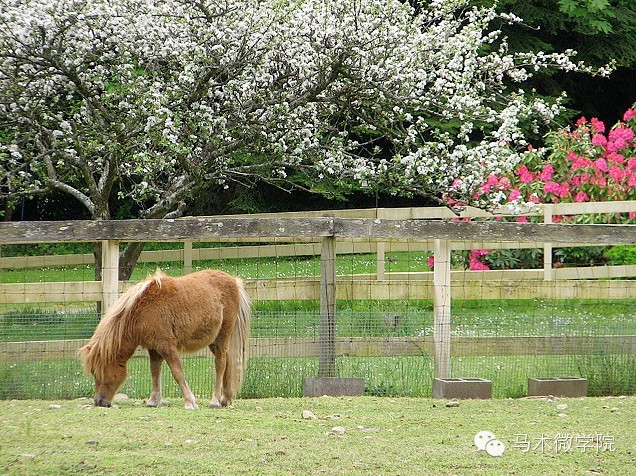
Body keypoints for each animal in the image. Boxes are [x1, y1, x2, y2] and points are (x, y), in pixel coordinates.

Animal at [78, 268, 250, 410]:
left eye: (97, 371)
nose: (99, 402)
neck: (142, 310)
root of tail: (233, 281)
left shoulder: (166, 346)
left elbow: (177, 373)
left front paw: (189, 402)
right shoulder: (153, 348)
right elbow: (155, 372)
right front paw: (153, 400)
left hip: (222, 336)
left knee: (220, 364)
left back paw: (215, 401)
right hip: (213, 341)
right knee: (228, 362)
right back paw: (225, 399)